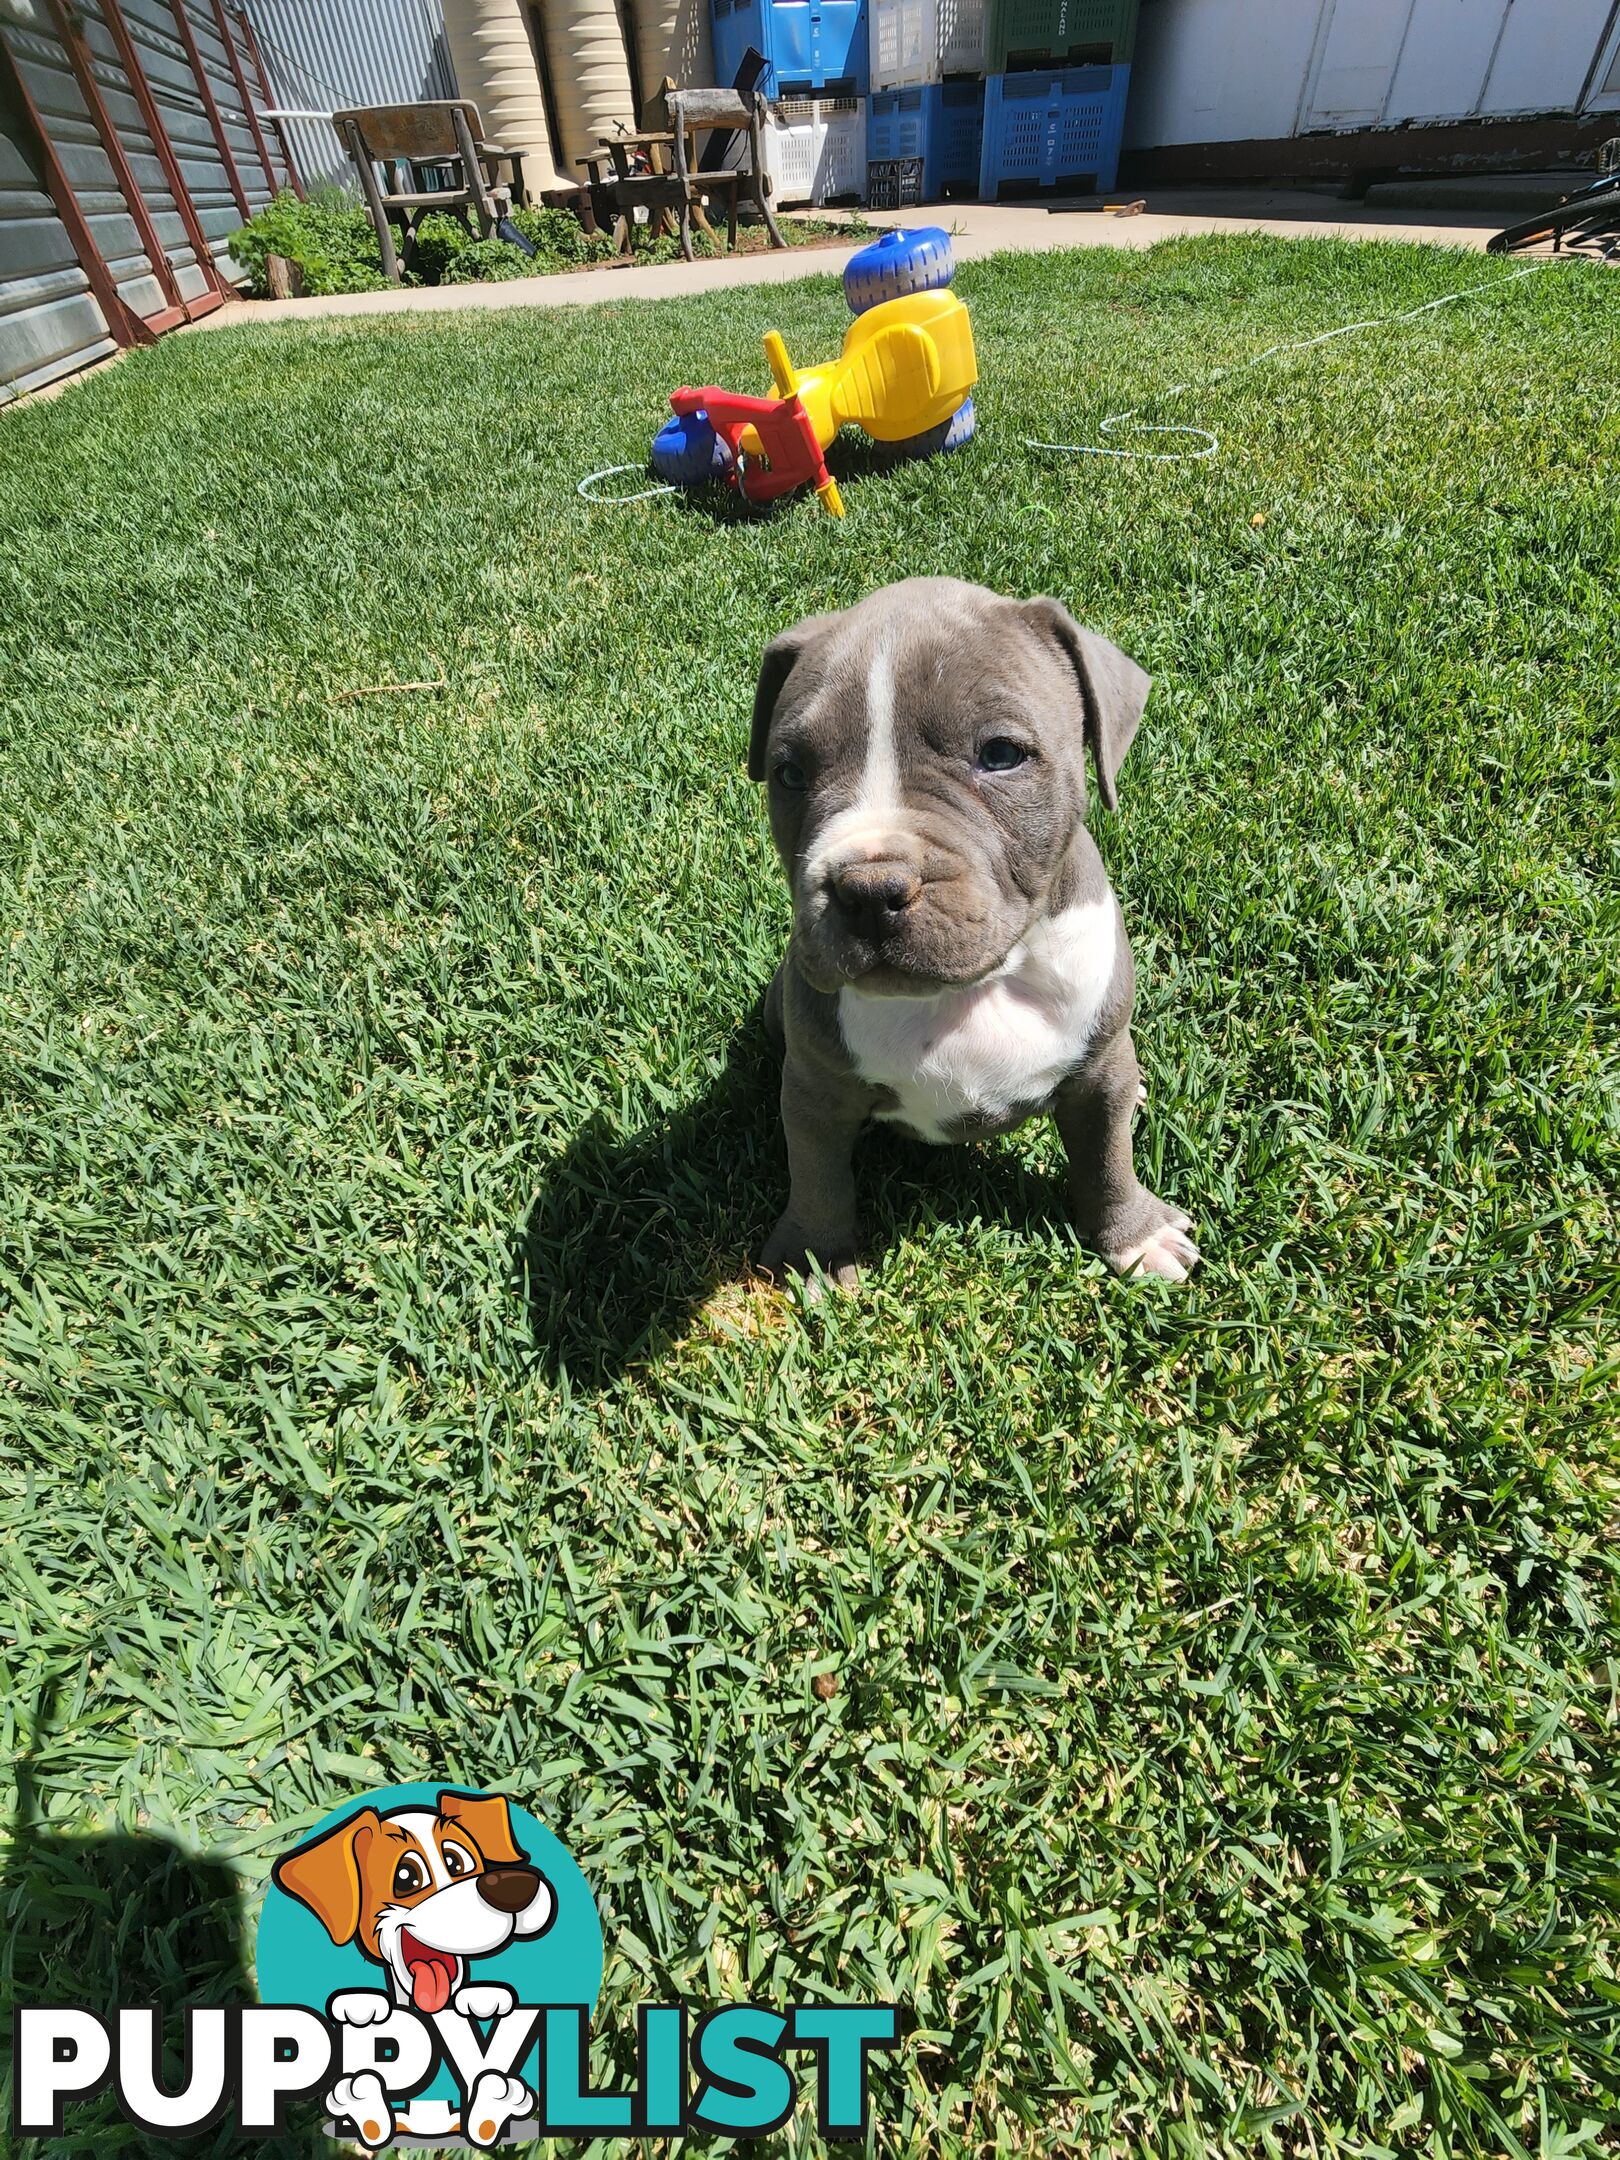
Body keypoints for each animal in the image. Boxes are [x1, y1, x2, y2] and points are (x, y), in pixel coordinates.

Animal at [756, 570, 1200, 1278]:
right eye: (790, 773)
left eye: (1000, 754)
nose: (867, 890)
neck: (974, 989)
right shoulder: (814, 1090)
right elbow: (817, 1176)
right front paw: (812, 1254)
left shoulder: (1100, 1070)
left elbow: (1107, 1158)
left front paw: (1136, 1234)